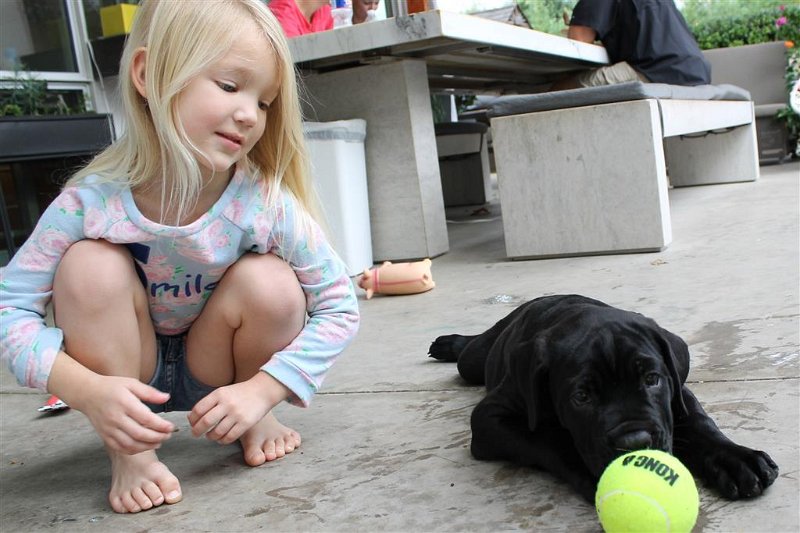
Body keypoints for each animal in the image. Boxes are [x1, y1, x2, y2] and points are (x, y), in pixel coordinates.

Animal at [428, 294, 779, 502]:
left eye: (652, 380)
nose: (635, 442)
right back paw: (450, 343)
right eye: (581, 397)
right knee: (470, 351)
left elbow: (699, 423)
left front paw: (735, 459)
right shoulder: (491, 417)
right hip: (475, 361)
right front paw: (591, 474)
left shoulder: (676, 390)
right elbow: (549, 439)